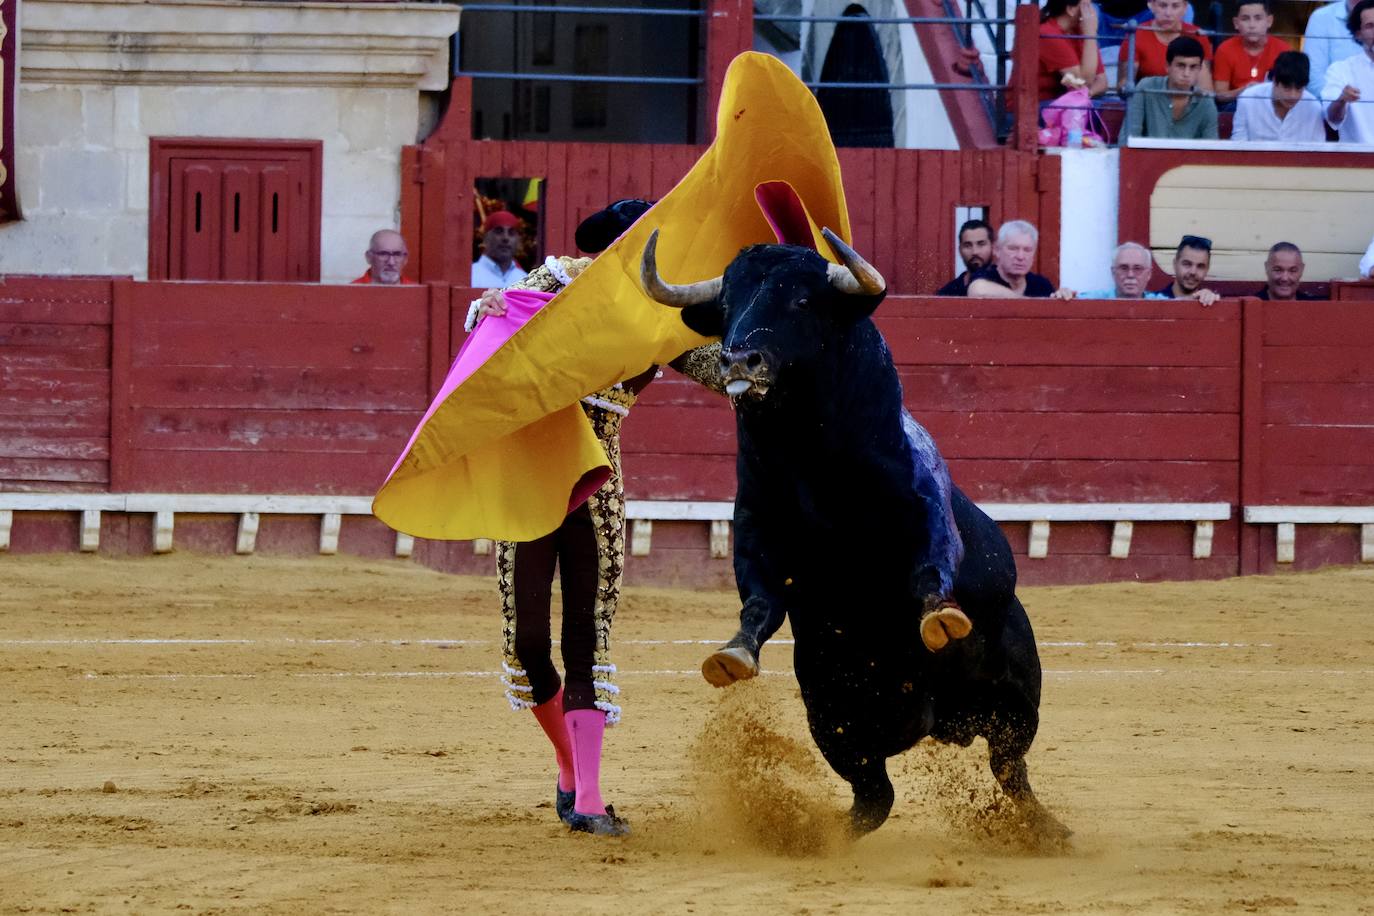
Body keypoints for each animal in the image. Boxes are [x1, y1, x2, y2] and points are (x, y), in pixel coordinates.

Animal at [637, 229, 1066, 840]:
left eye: (802, 300)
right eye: (726, 306)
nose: (738, 358)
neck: (815, 470)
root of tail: (941, 723)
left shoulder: (923, 506)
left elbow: (931, 563)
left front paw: (939, 617)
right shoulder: (755, 531)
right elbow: (759, 601)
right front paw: (733, 655)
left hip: (1016, 699)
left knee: (1010, 768)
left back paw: (1048, 831)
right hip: (832, 717)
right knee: (874, 796)